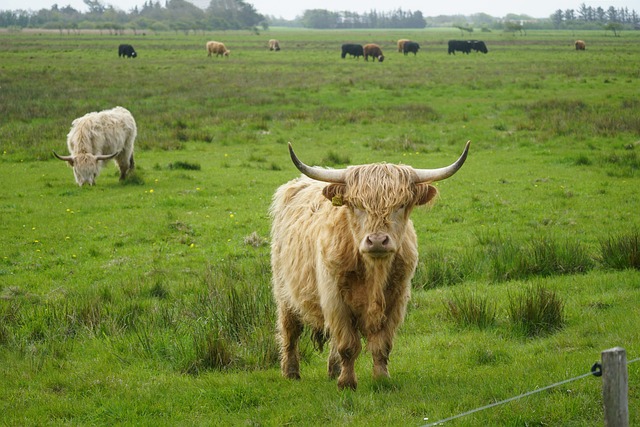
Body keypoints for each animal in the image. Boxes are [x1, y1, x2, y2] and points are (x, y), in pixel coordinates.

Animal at [270, 142, 470, 390]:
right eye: (357, 205)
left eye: (401, 204)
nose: (376, 240)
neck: (374, 272)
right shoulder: (335, 299)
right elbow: (348, 344)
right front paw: (347, 383)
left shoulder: (396, 300)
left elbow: (381, 345)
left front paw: (381, 378)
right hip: (283, 290)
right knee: (290, 330)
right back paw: (291, 372)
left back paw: (333, 370)